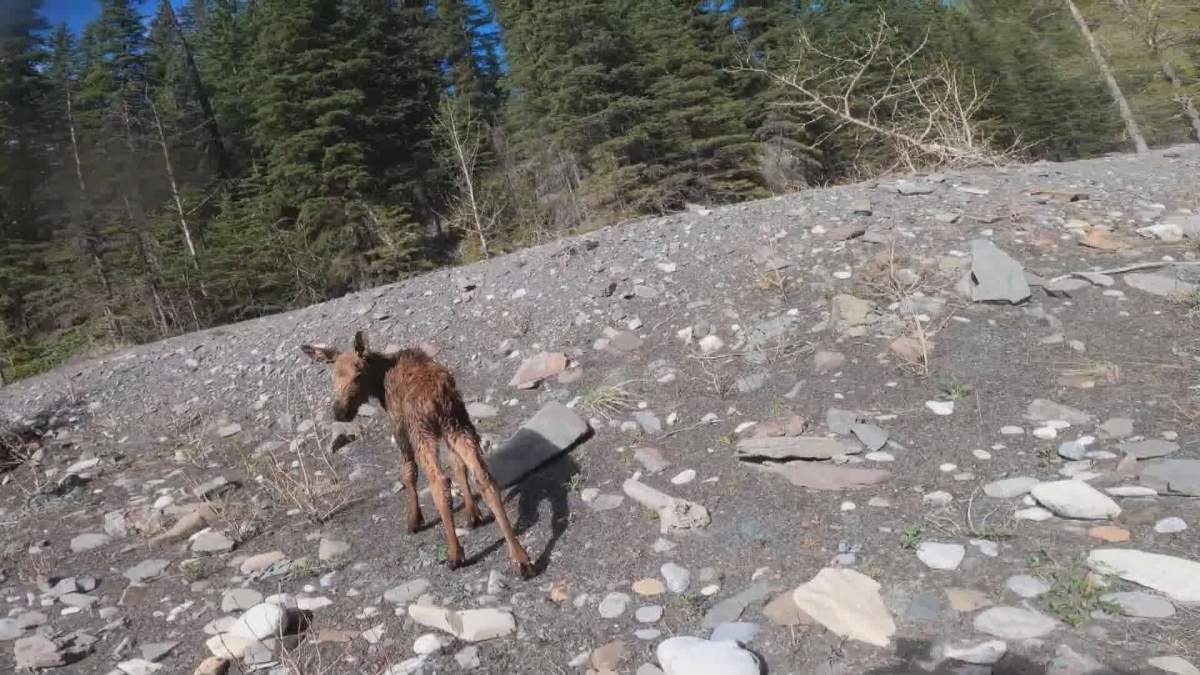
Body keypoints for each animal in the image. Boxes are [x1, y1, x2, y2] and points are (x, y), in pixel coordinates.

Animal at [300, 331, 534, 579]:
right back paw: (520, 556)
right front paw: (473, 514)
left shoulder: (398, 425)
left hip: (422, 432)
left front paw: (414, 520)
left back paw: (455, 553)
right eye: (334, 376)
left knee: (439, 482)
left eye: (358, 373)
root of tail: (440, 397)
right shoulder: (448, 430)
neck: (379, 381)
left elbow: (408, 472)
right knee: (483, 477)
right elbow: (458, 465)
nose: (340, 412)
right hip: (459, 424)